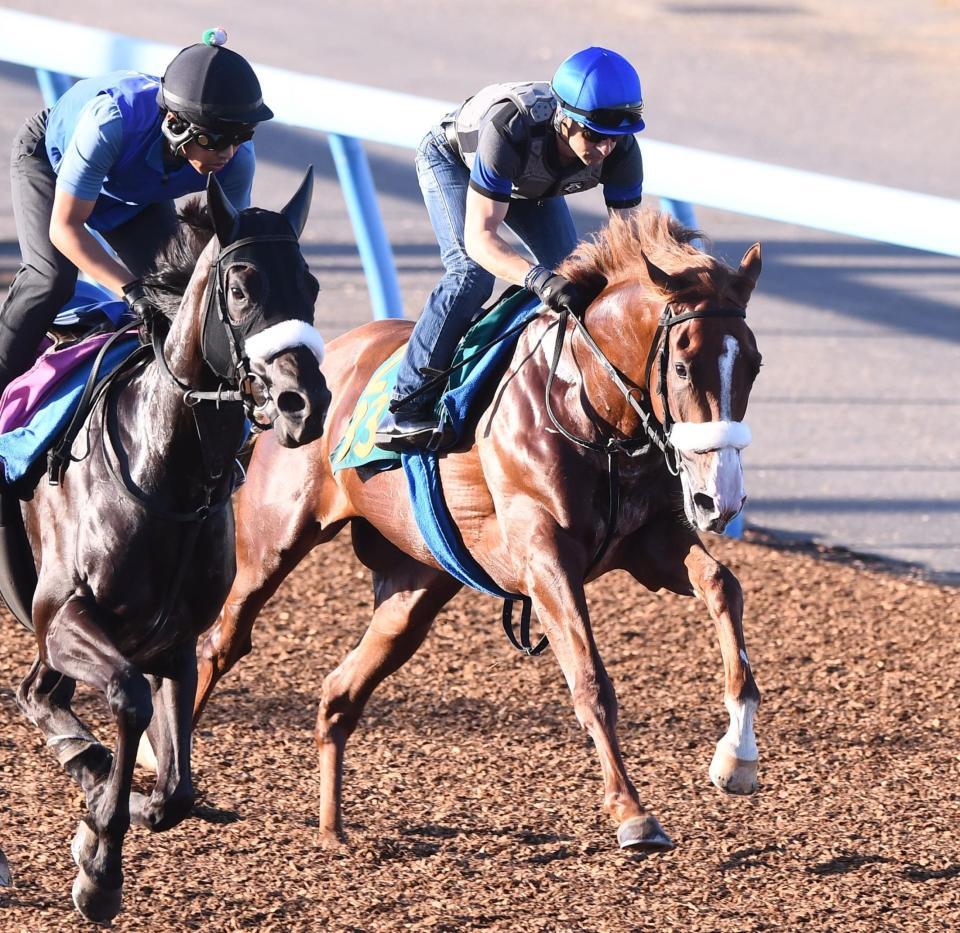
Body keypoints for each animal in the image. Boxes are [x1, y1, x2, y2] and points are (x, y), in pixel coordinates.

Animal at [9, 169, 331, 924]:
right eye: (240, 287)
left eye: (310, 283)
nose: (305, 403)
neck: (165, 465)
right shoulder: (64, 616)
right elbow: (126, 700)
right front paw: (100, 862)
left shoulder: (173, 638)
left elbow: (178, 785)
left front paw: (113, 813)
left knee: (37, 691)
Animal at [192, 210, 764, 852]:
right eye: (683, 366)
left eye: (754, 365)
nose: (720, 498)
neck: (586, 404)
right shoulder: (544, 557)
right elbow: (589, 678)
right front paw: (632, 812)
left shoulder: (650, 542)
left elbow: (722, 586)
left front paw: (737, 756)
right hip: (273, 542)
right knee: (221, 642)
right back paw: (158, 779)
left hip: (416, 586)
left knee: (340, 692)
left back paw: (333, 829)